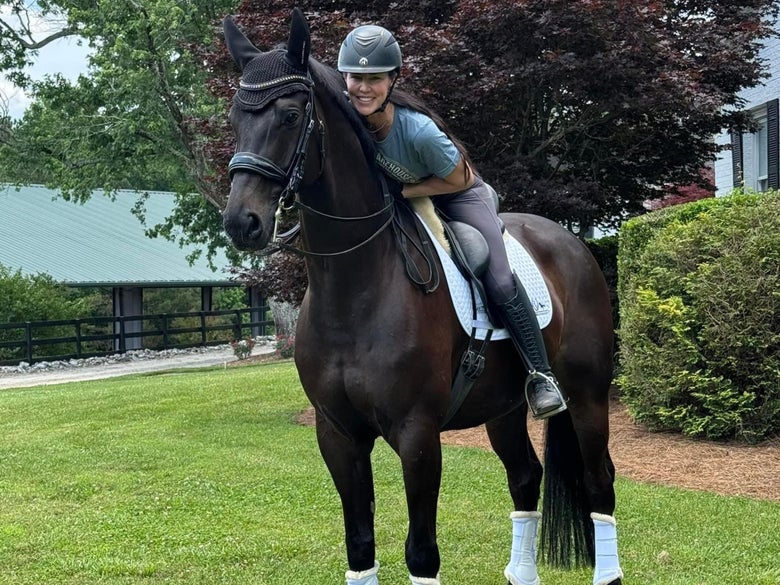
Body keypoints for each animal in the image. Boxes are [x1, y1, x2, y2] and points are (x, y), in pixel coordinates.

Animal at [221, 10, 623, 585]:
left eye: (291, 116)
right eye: (236, 116)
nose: (242, 222)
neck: (356, 290)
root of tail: (572, 242)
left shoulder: (417, 435)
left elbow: (421, 553)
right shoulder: (337, 435)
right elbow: (360, 546)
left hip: (588, 395)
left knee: (599, 481)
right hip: (503, 409)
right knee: (526, 476)